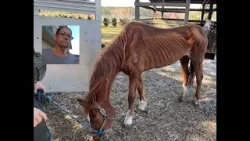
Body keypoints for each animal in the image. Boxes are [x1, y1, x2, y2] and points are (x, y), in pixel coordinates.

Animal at [77, 21, 208, 140]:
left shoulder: (134, 73)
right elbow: (140, 88)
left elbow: (131, 96)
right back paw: (181, 97)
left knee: (199, 78)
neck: (126, 46)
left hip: (197, 59)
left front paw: (128, 119)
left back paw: (196, 100)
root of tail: (199, 29)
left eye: (95, 116)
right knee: (186, 76)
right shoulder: (137, 73)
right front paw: (143, 105)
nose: (95, 137)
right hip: (184, 58)